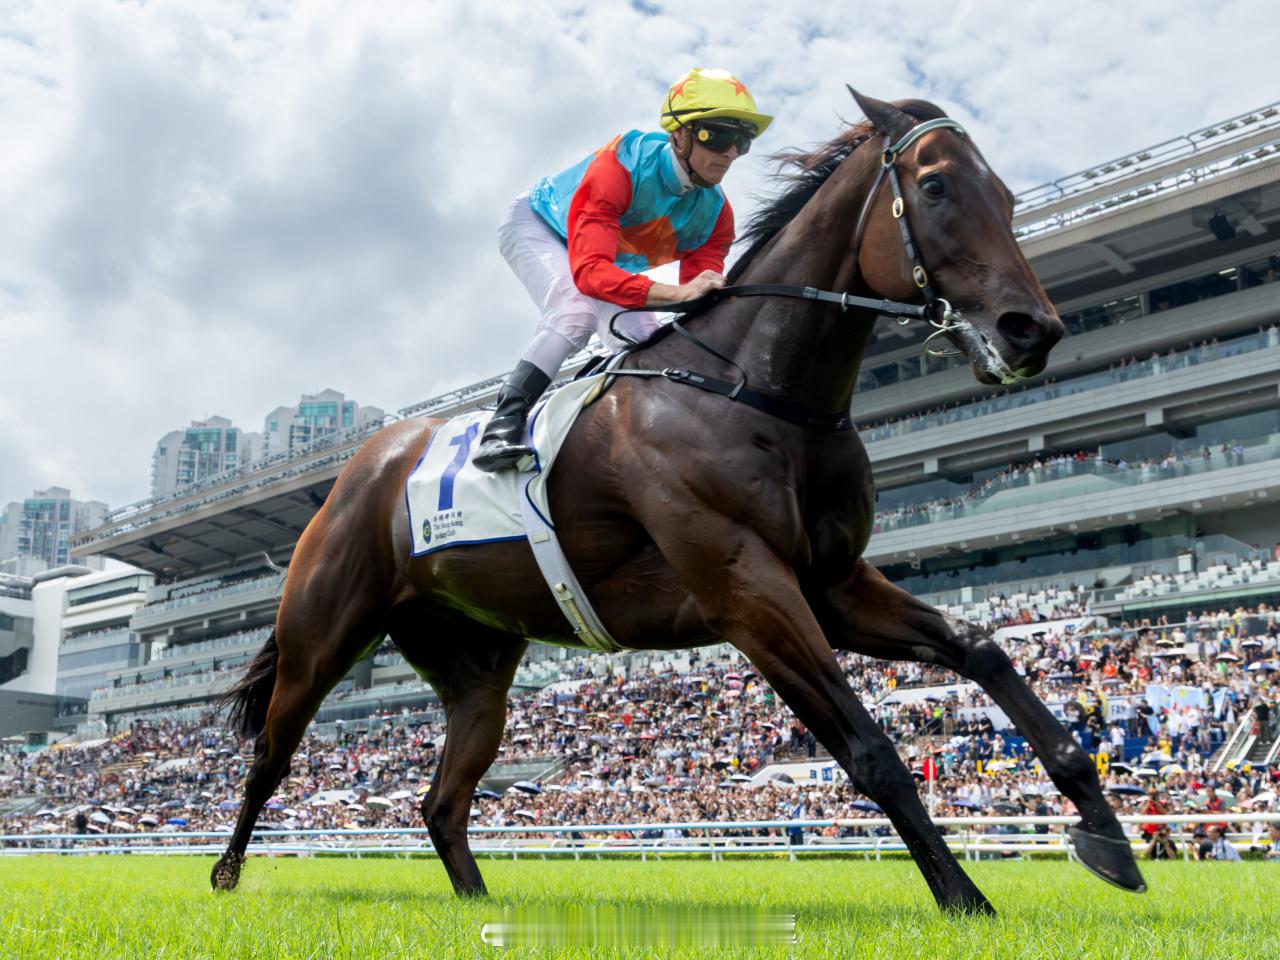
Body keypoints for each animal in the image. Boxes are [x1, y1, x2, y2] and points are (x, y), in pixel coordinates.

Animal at [210, 89, 1146, 913]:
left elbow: (983, 649)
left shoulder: (832, 586)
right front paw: (965, 898)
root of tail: (359, 469)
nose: (1034, 330)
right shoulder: (746, 592)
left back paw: (474, 901)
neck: (757, 389)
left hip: (476, 670)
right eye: (938, 185)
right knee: (269, 759)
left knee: (441, 801)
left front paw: (1106, 835)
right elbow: (873, 750)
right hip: (322, 638)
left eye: (1010, 195)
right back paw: (223, 876)